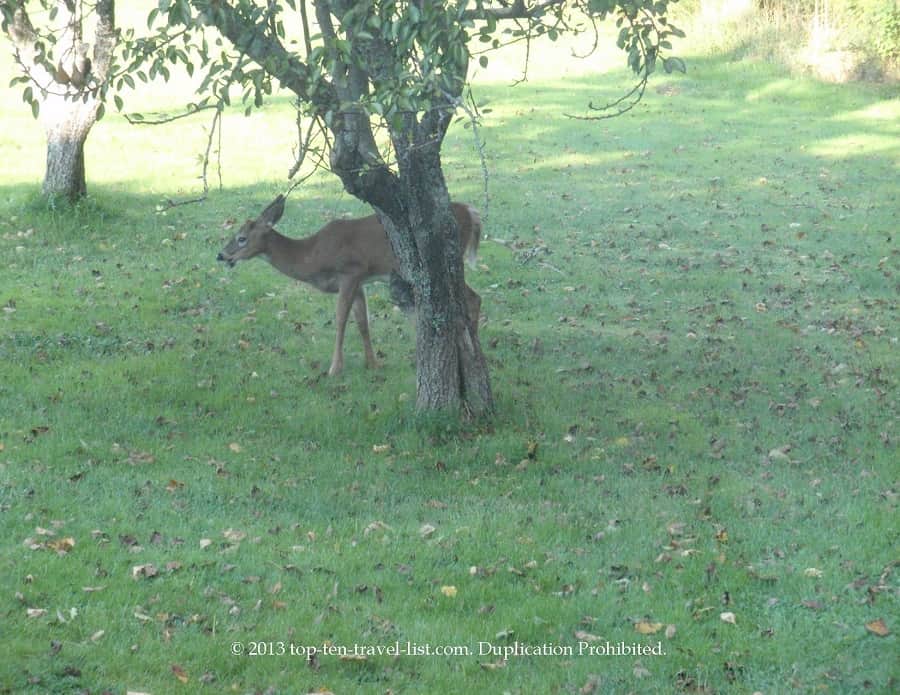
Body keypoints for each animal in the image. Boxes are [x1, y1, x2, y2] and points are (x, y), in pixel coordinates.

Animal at [217, 195, 482, 376]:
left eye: (241, 238)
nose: (221, 255)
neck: (313, 255)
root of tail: (471, 212)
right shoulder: (360, 282)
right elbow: (363, 322)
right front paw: (373, 363)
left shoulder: (351, 272)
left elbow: (341, 320)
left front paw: (335, 368)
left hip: (448, 257)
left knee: (474, 297)